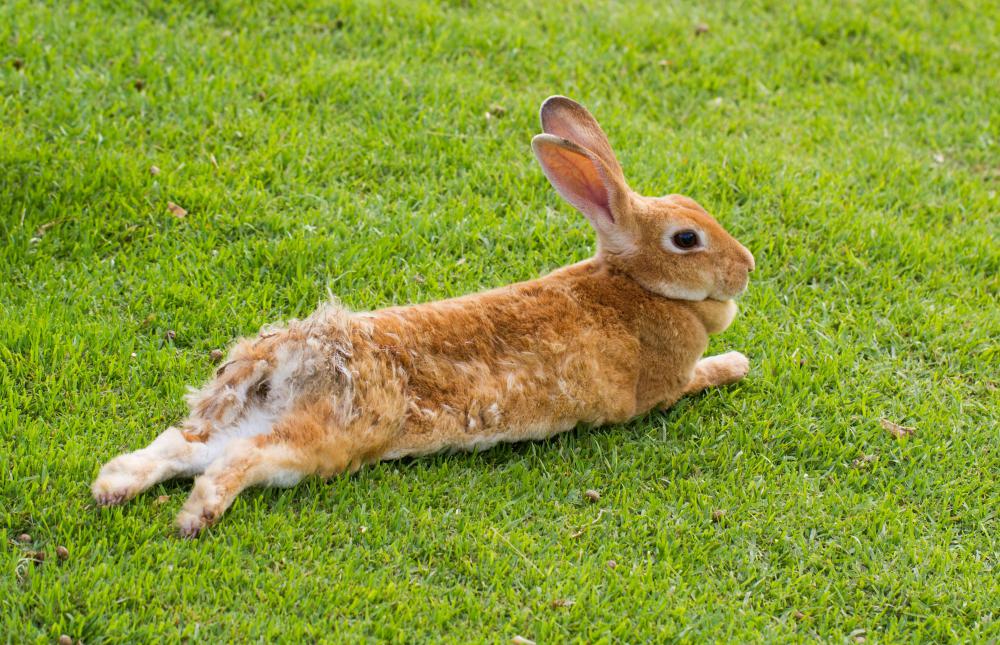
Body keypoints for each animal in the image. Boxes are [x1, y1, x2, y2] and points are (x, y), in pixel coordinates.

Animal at [94, 95, 752, 536]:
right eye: (686, 239)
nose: (746, 267)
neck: (637, 284)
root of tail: (282, 357)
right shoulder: (664, 386)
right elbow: (703, 376)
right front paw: (738, 362)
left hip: (252, 414)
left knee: (183, 445)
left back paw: (111, 487)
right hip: (327, 439)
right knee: (238, 461)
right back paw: (195, 516)